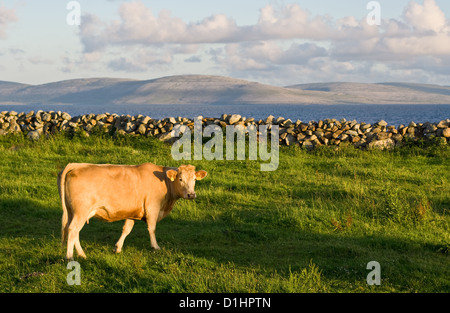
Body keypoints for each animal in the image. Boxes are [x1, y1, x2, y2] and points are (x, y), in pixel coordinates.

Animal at [58, 162, 207, 260]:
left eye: (194, 179)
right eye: (180, 179)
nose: (191, 194)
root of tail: (76, 165)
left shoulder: (132, 212)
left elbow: (126, 229)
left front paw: (117, 247)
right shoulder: (152, 207)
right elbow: (152, 228)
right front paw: (155, 246)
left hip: (73, 212)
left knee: (74, 231)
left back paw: (82, 254)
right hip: (81, 211)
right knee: (73, 229)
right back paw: (70, 257)